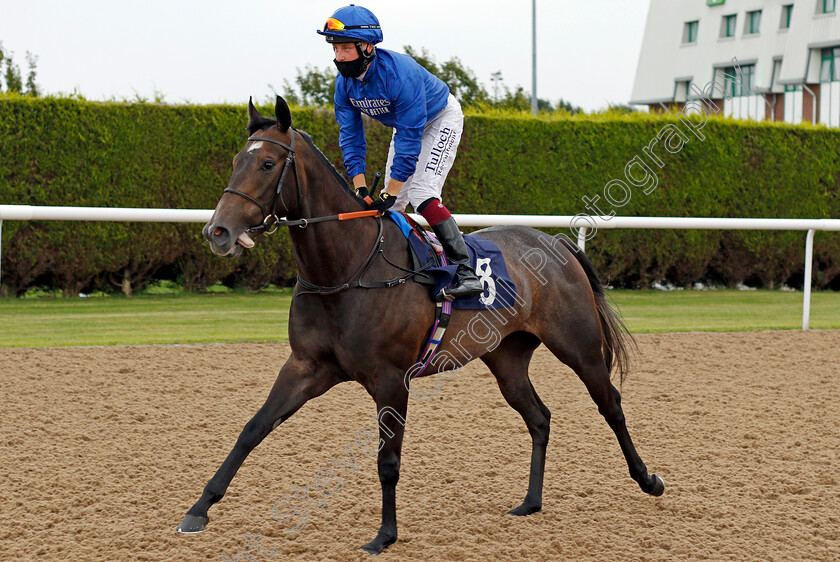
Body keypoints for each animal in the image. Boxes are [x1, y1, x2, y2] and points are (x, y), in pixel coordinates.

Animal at [176, 95, 664, 552]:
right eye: (235, 161)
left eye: (267, 163)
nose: (217, 232)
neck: (348, 268)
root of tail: (558, 244)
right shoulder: (306, 367)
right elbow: (253, 429)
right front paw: (198, 510)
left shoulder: (391, 379)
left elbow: (387, 461)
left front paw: (384, 535)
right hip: (506, 358)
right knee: (539, 417)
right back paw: (530, 502)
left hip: (579, 346)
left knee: (610, 403)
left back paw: (647, 479)